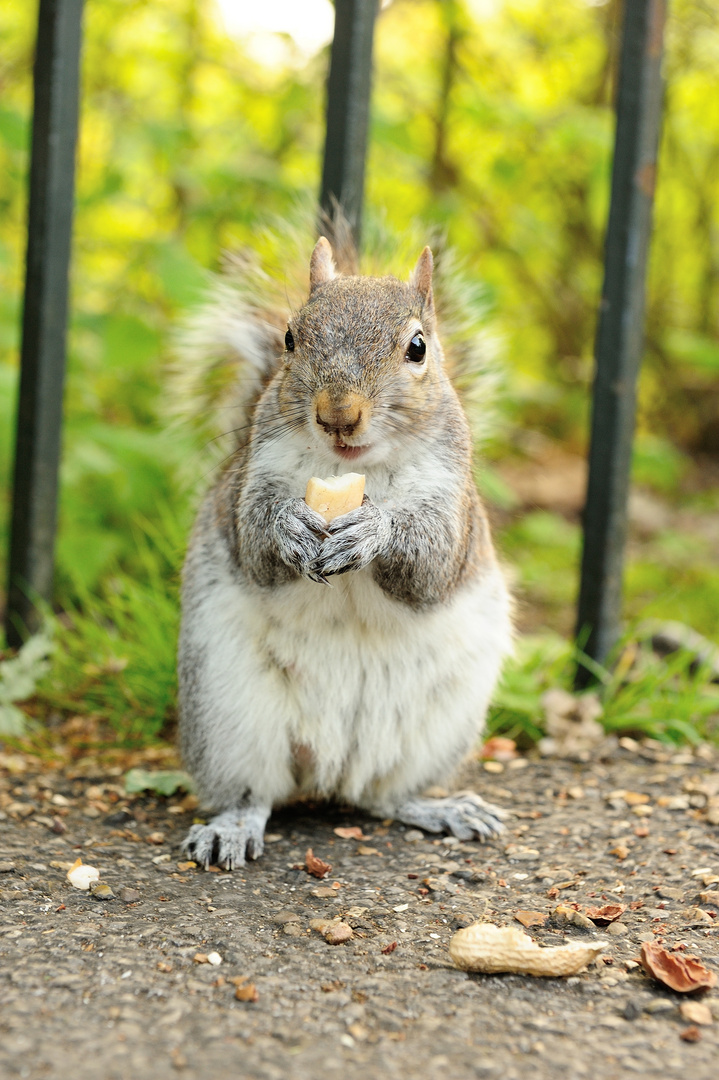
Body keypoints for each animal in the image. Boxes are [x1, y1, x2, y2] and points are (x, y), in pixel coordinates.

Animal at [175, 234, 511, 868]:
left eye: (418, 347)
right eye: (289, 337)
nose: (338, 414)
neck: (354, 471)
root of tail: (327, 772)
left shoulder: (452, 505)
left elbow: (430, 567)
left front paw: (373, 530)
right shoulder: (249, 482)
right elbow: (255, 545)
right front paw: (290, 526)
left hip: (436, 728)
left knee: (382, 796)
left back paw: (441, 808)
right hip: (227, 715)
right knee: (256, 793)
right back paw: (232, 826)